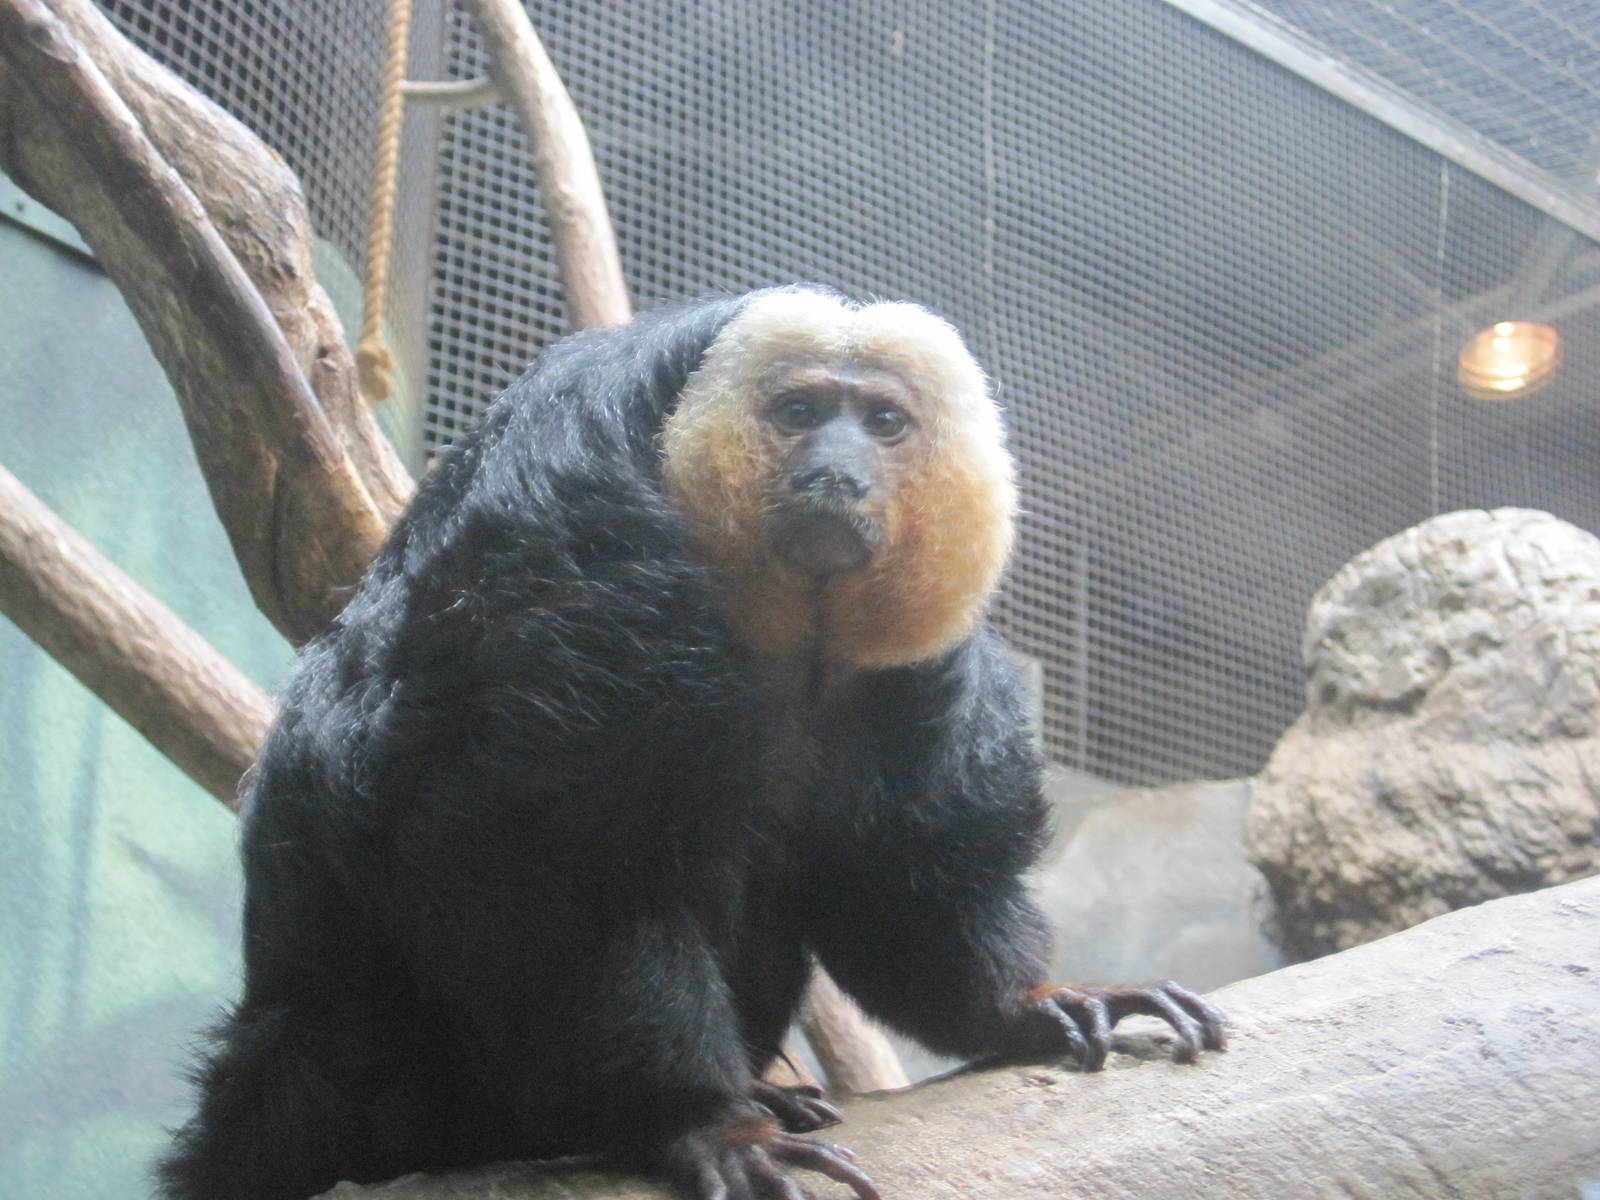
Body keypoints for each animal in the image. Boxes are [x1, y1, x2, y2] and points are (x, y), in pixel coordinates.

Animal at [158, 285, 1224, 1200]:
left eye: (883, 424)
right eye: (800, 411)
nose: (836, 471)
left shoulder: (912, 681)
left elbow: (900, 877)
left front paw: (1028, 1002)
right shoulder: (577, 551)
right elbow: (557, 864)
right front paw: (701, 1120)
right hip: (346, 1063)